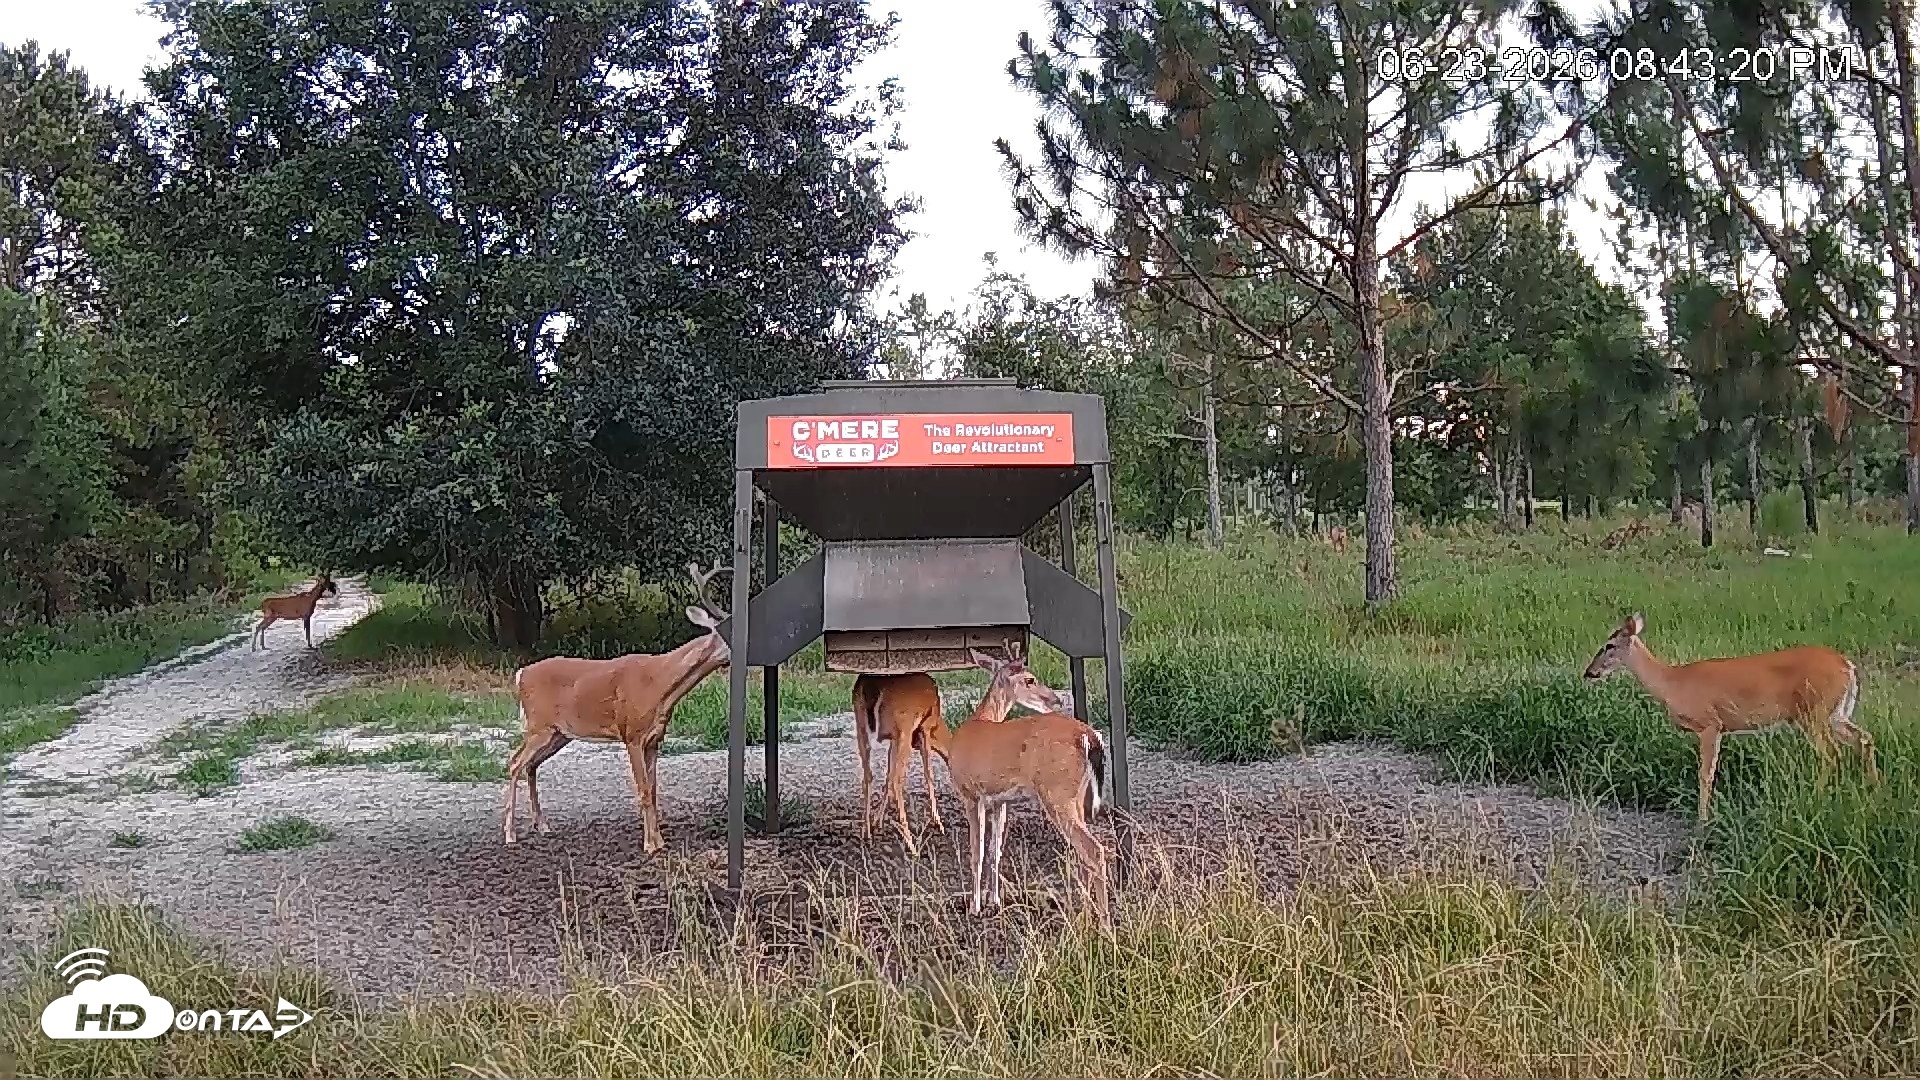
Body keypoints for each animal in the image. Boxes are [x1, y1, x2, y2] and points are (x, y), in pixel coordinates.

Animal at [501, 562, 731, 852]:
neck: (660, 685)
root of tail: (521, 674)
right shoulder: (631, 734)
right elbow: (643, 791)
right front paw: (650, 845)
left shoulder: (655, 739)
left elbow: (653, 791)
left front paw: (660, 841)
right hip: (538, 724)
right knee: (514, 763)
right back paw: (510, 833)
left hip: (558, 733)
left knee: (530, 765)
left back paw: (542, 825)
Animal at [922, 647, 1112, 922]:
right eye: (1030, 679)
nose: (1055, 700)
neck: (981, 719)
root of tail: (1090, 736)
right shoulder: (1000, 800)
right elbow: (995, 851)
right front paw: (994, 902)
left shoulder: (970, 793)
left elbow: (977, 852)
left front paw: (975, 907)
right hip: (1076, 795)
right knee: (1082, 853)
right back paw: (1085, 913)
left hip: (1056, 792)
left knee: (1094, 850)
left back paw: (1104, 921)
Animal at [1583, 612, 1880, 824]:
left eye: (1609, 645)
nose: (1589, 672)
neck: (1672, 683)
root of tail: (1848, 666)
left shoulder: (1710, 724)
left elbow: (1706, 773)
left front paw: (1702, 820)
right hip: (1836, 714)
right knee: (1864, 739)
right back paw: (1875, 790)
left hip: (1814, 713)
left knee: (1831, 753)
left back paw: (1816, 799)